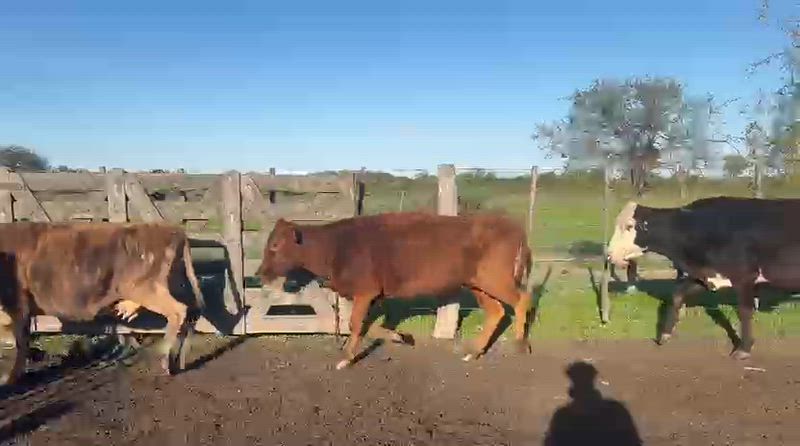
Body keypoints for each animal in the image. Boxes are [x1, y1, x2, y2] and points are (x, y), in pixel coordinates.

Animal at [0, 222, 205, 385]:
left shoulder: (17, 306)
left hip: (147, 289)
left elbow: (20, 342)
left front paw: (8, 378)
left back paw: (164, 361)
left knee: (179, 311)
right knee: (190, 315)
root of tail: (171, 229)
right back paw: (176, 362)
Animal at [256, 212, 534, 370]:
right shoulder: (369, 296)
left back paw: (520, 345)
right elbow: (363, 324)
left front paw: (346, 359)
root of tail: (514, 228)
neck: (336, 246)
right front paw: (402, 337)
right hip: (477, 285)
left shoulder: (366, 292)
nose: (260, 272)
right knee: (497, 311)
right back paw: (474, 353)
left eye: (276, 245)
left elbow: (355, 324)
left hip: (495, 279)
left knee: (522, 299)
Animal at [607, 196, 800, 360]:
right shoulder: (706, 275)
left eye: (629, 226)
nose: (609, 254)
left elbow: (745, 312)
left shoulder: (744, 277)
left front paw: (743, 349)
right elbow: (677, 296)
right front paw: (665, 335)